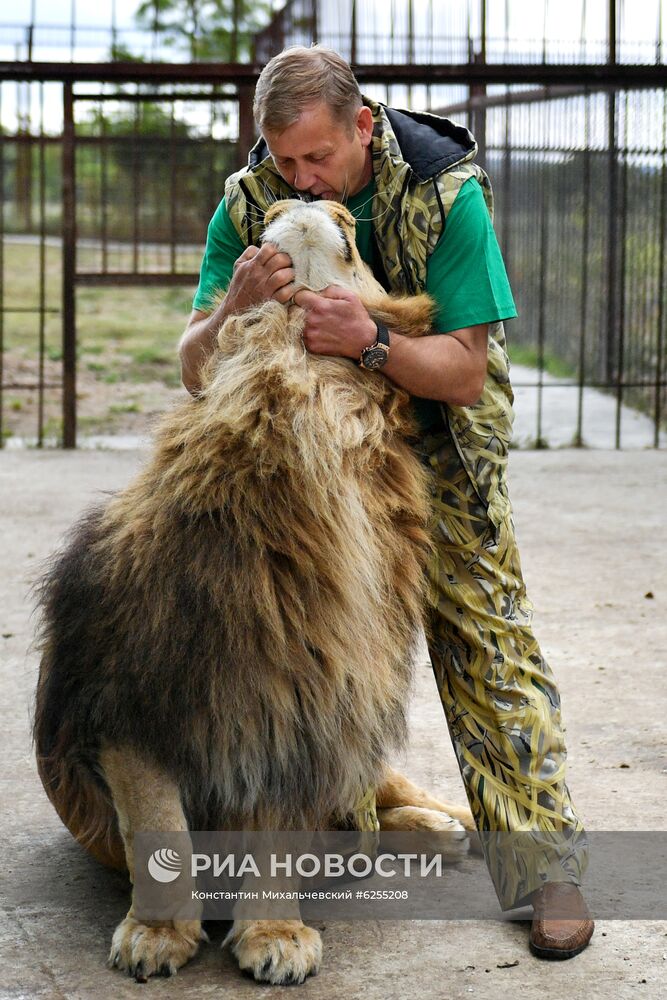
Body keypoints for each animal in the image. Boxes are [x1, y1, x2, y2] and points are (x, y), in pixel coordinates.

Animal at [34, 199, 478, 988]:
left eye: (351, 233)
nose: (305, 202)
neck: (295, 383)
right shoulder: (128, 700)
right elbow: (160, 832)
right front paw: (156, 934)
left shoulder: (299, 698)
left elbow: (277, 836)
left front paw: (274, 935)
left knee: (387, 787)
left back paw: (447, 826)